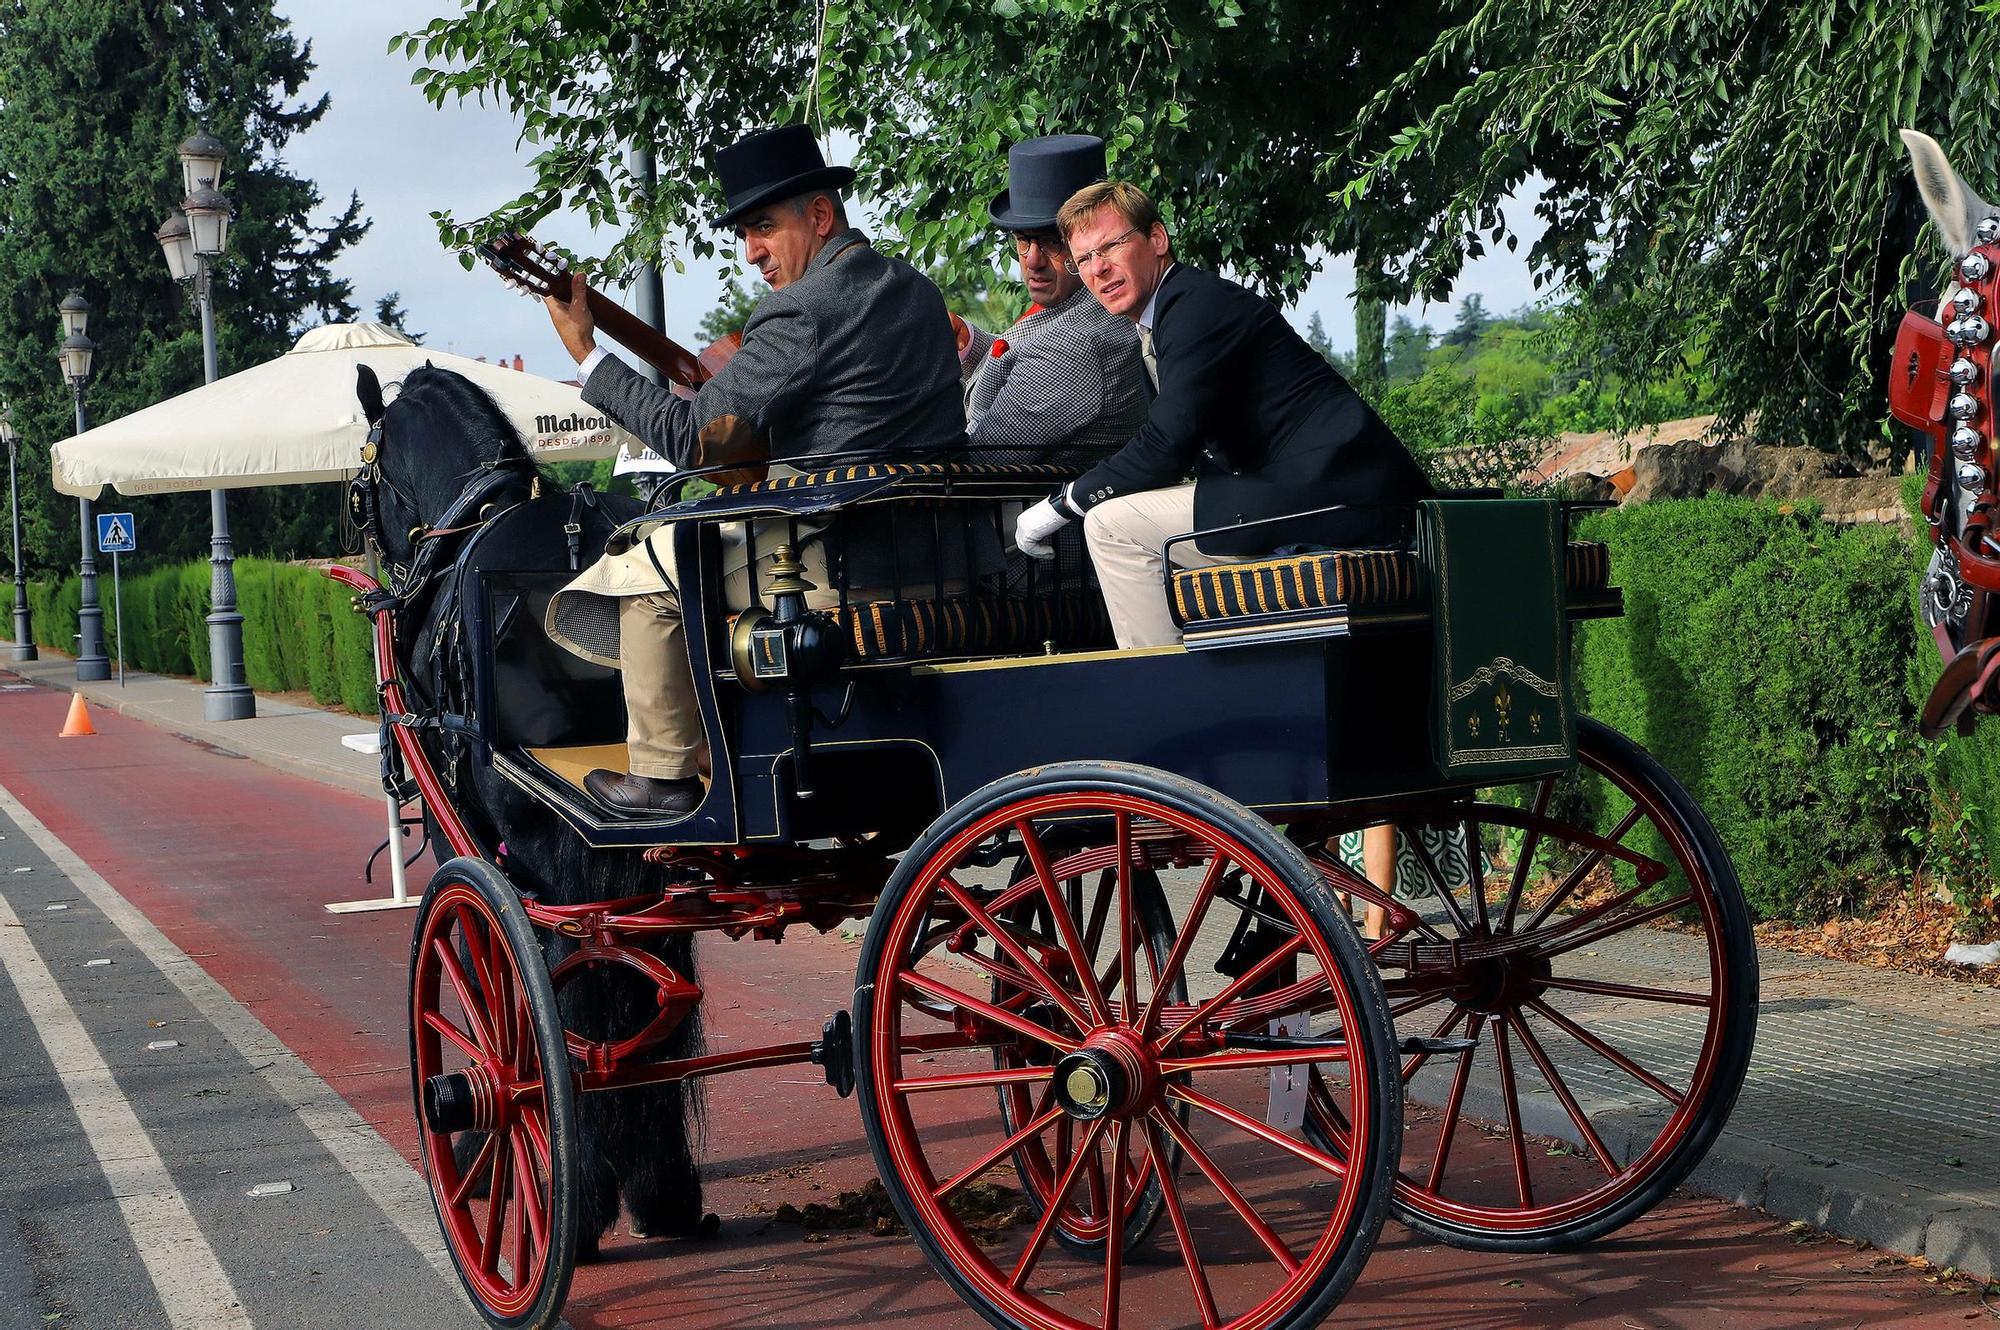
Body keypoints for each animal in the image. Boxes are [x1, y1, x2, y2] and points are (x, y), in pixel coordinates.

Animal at [356, 360, 708, 1256]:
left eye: (360, 481)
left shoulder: (471, 849)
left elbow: (488, 979)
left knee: (563, 996)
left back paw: (571, 1192)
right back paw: (662, 1191)